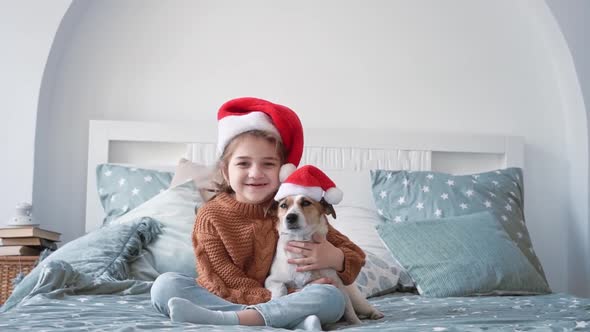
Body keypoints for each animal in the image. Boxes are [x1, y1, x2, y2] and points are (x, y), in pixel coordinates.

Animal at [266, 195, 386, 324]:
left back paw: (375, 314)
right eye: (283, 205)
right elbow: (280, 287)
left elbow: (349, 310)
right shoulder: (271, 280)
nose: (290, 217)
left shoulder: (337, 283)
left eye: (306, 203)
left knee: (364, 307)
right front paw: (276, 299)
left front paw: (356, 323)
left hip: (357, 301)